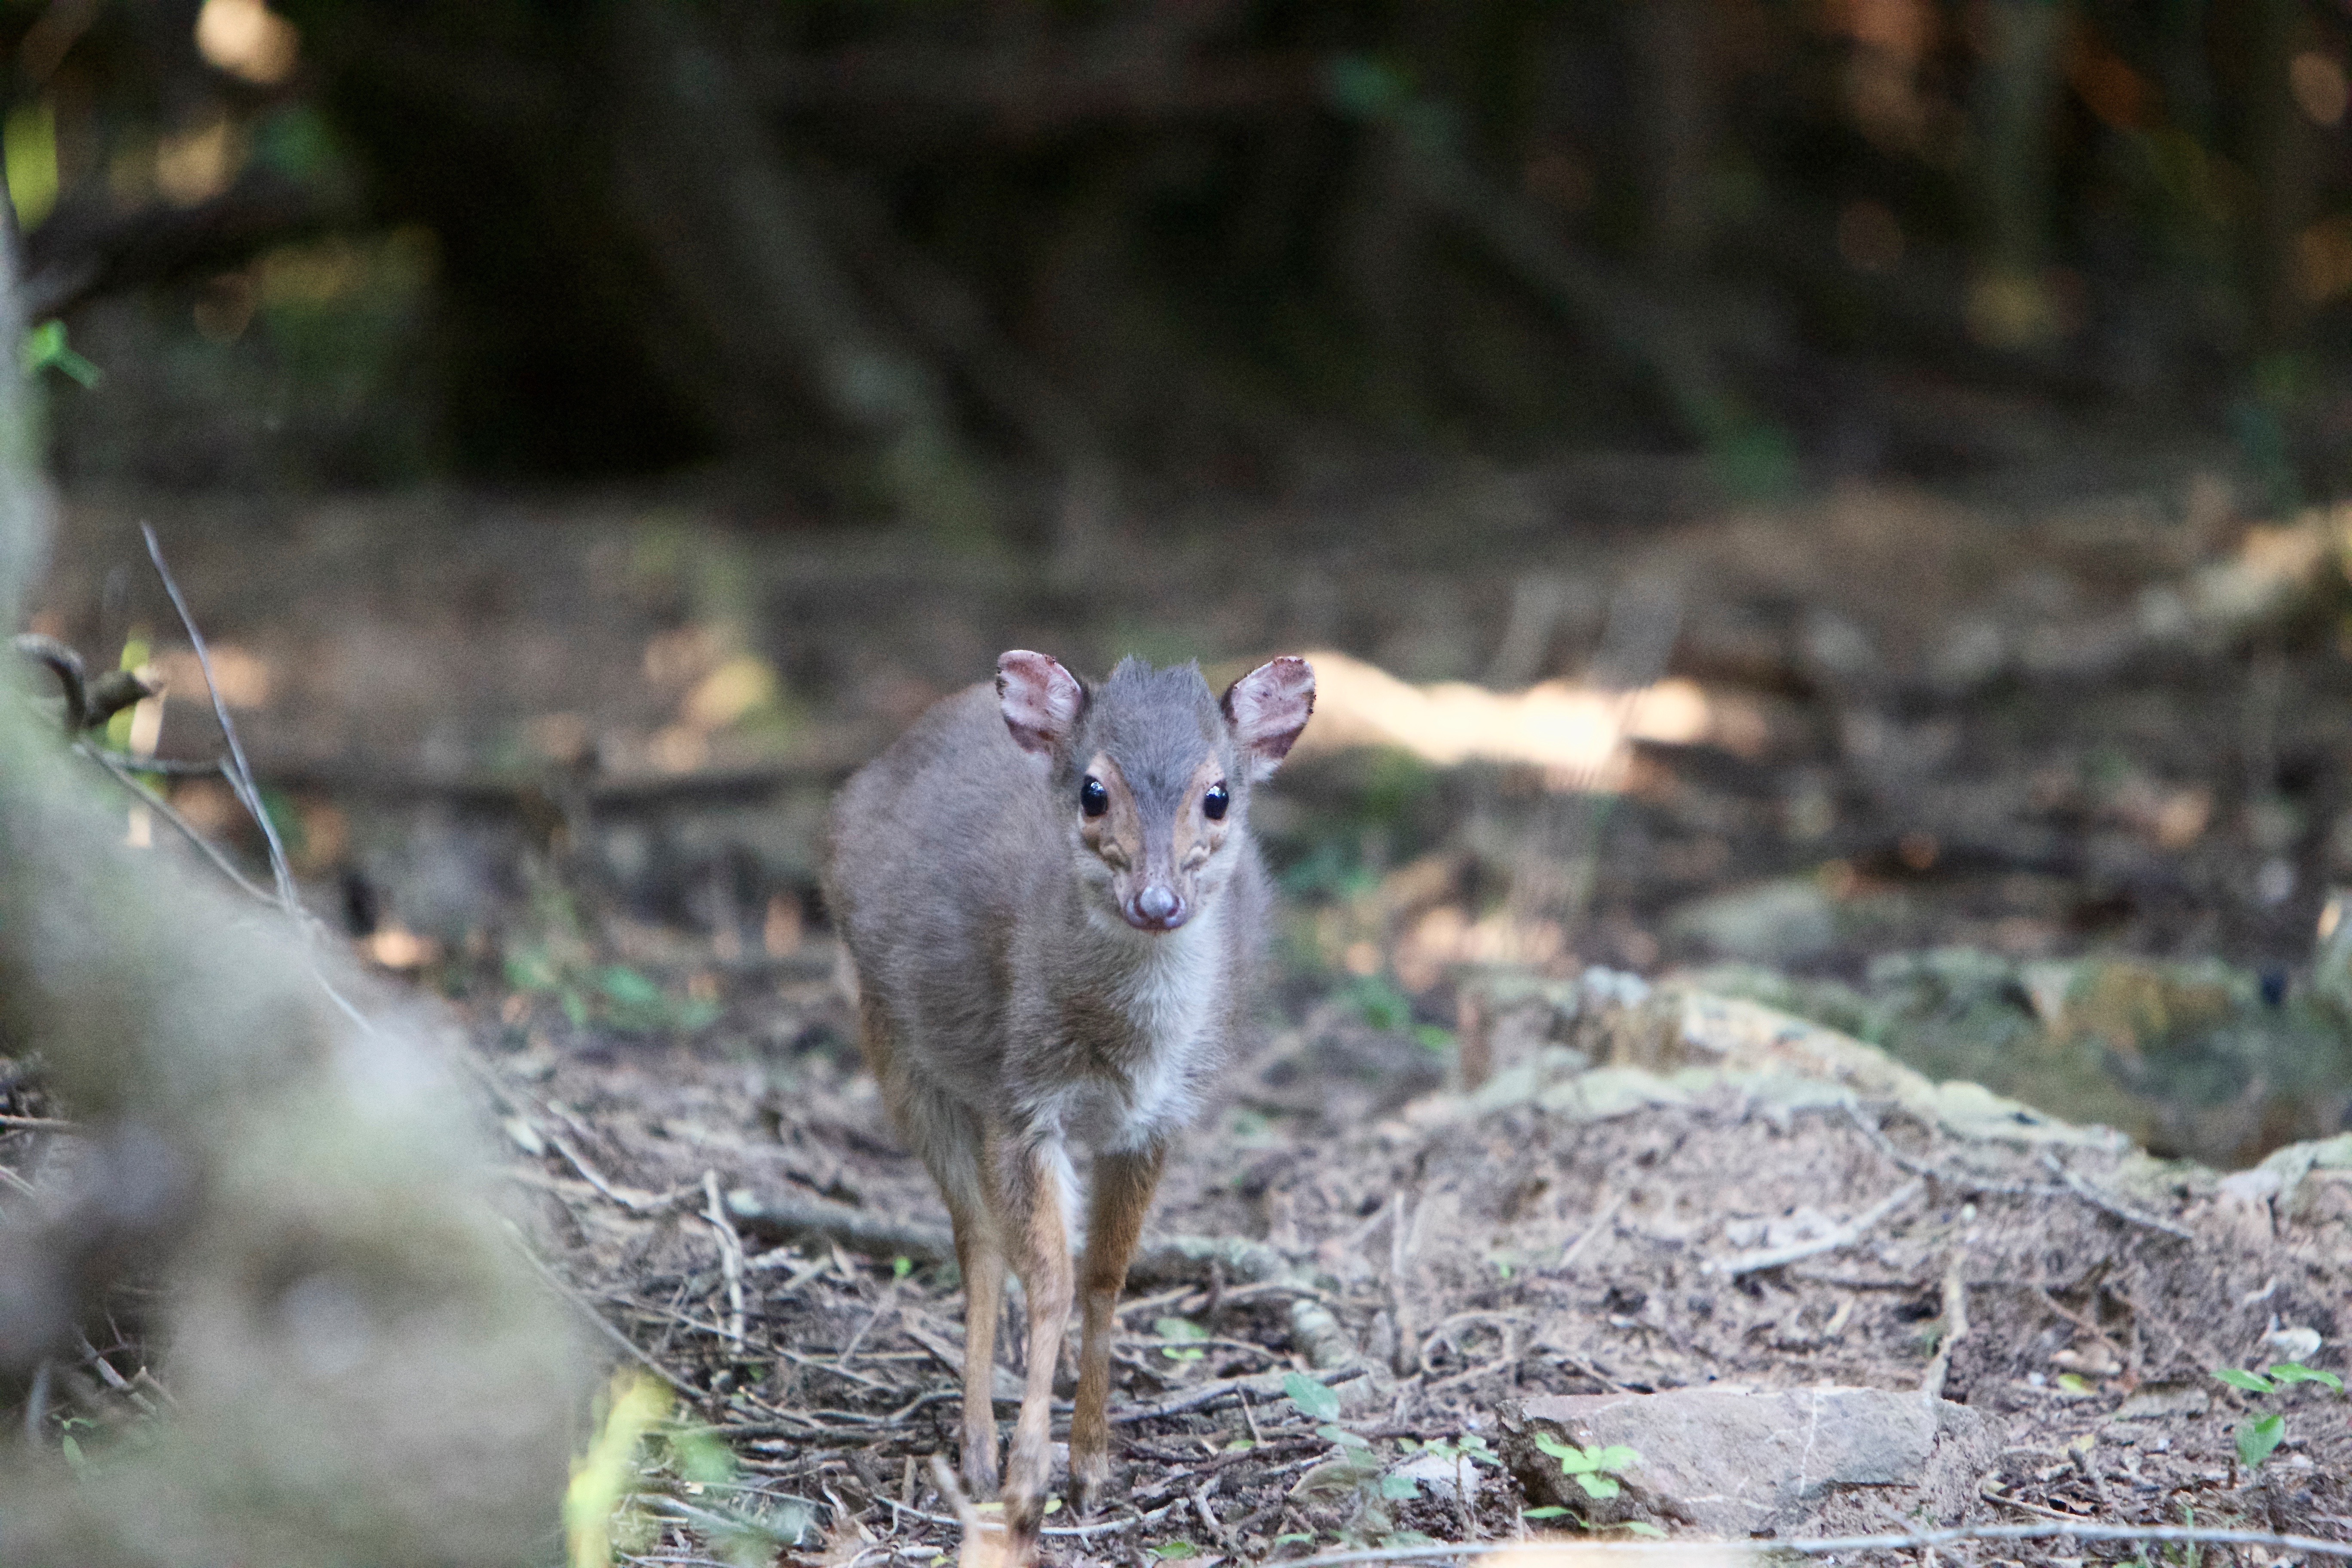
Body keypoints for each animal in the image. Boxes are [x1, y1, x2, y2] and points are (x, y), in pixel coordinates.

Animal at [823, 649, 1308, 1561]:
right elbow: (1046, 1277)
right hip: (900, 1048)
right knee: (977, 1241)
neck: (1123, 1050)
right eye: (1092, 791)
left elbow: (1106, 1274)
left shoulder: (1158, 1121)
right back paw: (977, 1451)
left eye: (1217, 793)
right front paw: (1025, 1488)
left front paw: (1089, 1467)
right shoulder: (1023, 1100)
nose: (1157, 902)